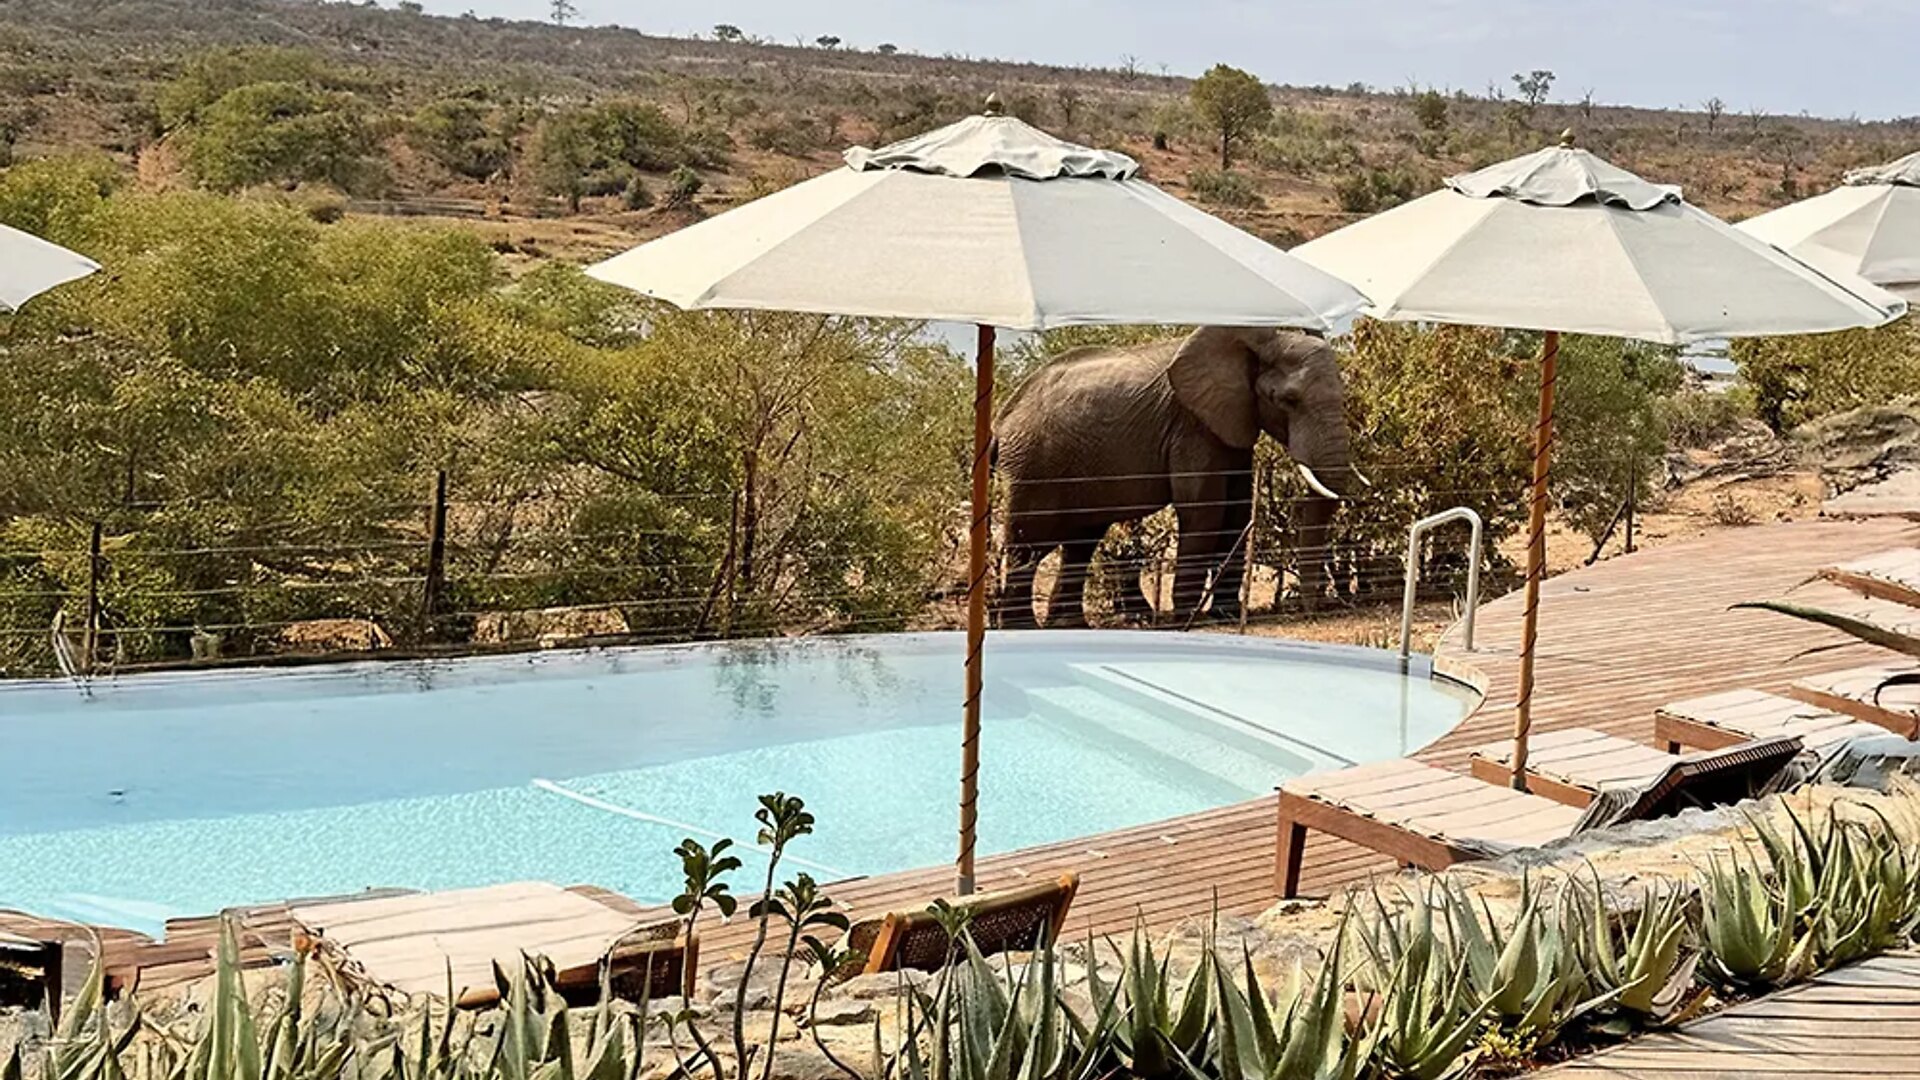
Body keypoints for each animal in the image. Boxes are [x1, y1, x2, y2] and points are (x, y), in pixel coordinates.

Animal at [993, 326, 1363, 629]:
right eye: (1288, 400)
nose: (1311, 612)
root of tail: (1002, 418)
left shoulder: (1231, 425)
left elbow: (1237, 512)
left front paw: (1226, 615)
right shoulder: (1192, 426)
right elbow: (1204, 509)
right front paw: (1189, 619)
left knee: (1082, 540)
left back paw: (1070, 626)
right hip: (1033, 464)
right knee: (1027, 542)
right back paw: (1023, 628)